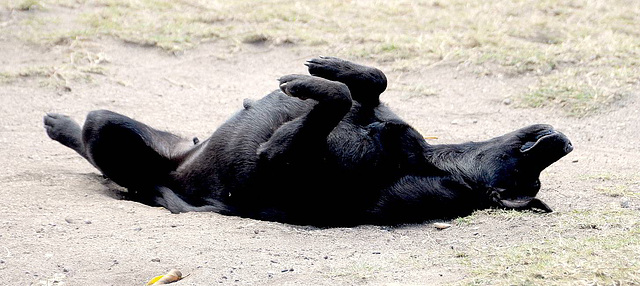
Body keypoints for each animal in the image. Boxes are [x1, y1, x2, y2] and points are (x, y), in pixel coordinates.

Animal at [45, 56, 576, 226]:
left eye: (529, 177)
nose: (565, 143)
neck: (433, 161)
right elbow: (370, 82)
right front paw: (336, 70)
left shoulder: (280, 157)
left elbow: (336, 99)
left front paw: (316, 83)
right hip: (131, 127)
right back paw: (57, 121)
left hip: (108, 134)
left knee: (97, 149)